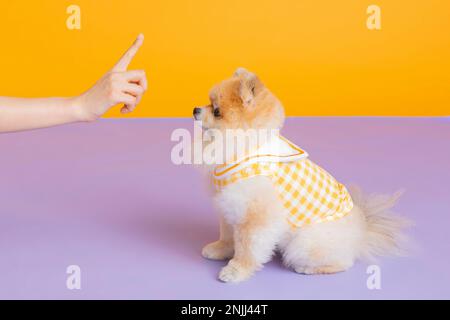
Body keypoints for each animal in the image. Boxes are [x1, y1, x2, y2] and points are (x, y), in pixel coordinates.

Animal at [192, 67, 410, 282]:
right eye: (209, 102)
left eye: (217, 111)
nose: (195, 109)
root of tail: (361, 234)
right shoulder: (230, 205)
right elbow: (228, 234)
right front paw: (220, 250)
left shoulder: (255, 216)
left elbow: (247, 248)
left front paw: (236, 270)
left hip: (305, 243)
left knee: (342, 262)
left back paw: (307, 268)